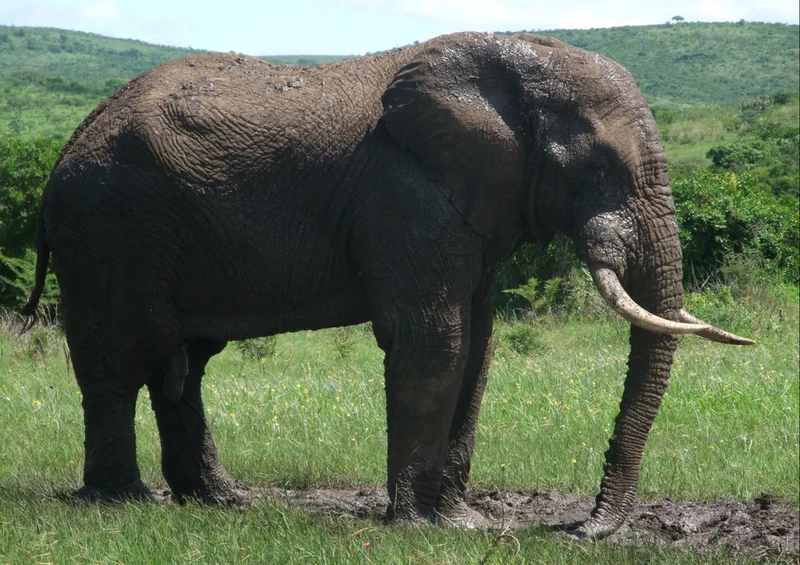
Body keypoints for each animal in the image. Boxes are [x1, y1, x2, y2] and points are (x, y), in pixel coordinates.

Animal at [20, 31, 753, 538]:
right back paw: (124, 502)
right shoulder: (405, 191)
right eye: (599, 165)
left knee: (184, 368)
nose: (584, 528)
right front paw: (431, 528)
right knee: (118, 362)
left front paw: (463, 521)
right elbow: (434, 337)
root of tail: (66, 148)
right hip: (108, 227)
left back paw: (223, 502)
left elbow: (478, 344)